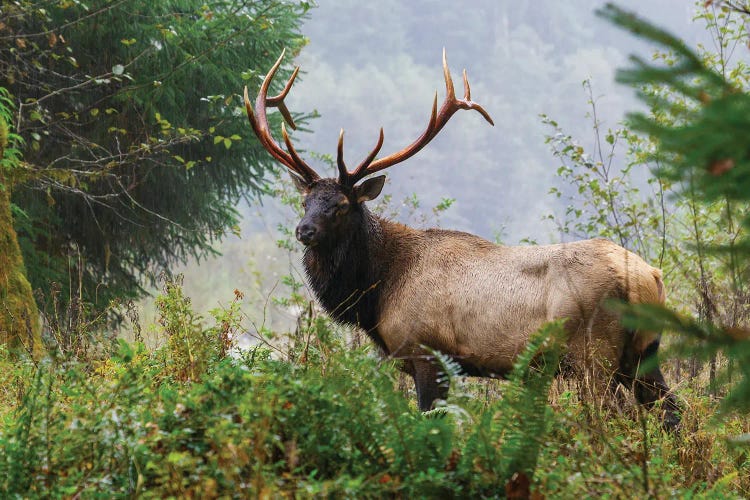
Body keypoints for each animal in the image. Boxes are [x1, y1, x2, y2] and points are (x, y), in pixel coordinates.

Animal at [245, 48, 680, 428]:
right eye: (305, 201)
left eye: (340, 206)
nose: (305, 231)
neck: (379, 290)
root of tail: (650, 278)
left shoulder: (427, 352)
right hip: (644, 353)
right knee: (673, 412)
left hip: (595, 354)